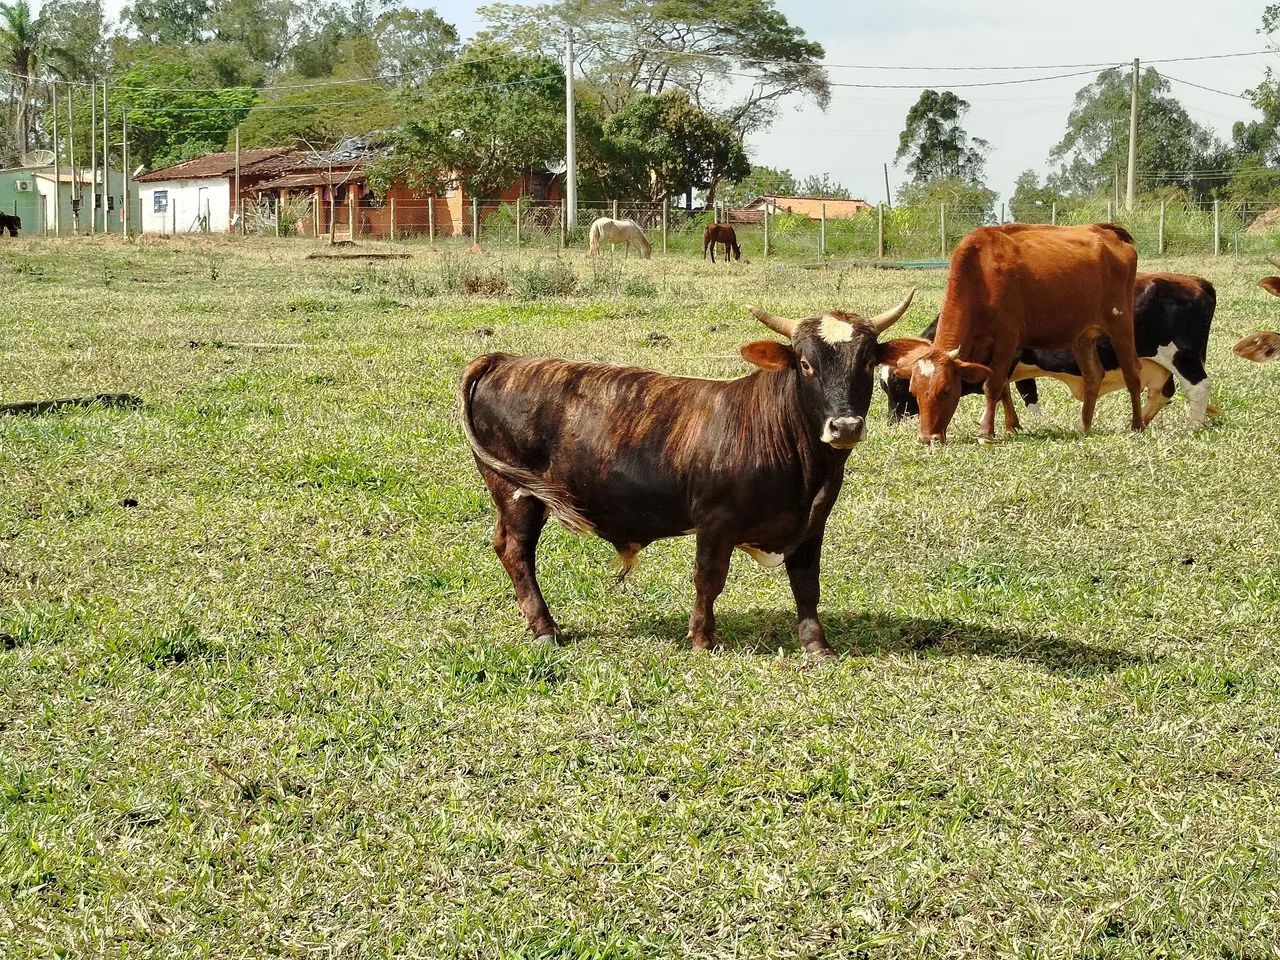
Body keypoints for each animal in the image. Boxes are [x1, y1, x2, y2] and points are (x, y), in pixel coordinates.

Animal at [459, 290, 917, 654]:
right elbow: (708, 579)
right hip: (517, 493)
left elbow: (806, 584)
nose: (845, 426)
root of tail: (503, 360)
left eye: (867, 362)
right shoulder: (714, 521)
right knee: (516, 551)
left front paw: (816, 645)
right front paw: (702, 639)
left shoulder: (812, 524)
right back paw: (545, 628)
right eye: (805, 364)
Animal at [879, 223, 1143, 444]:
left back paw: (1137, 425)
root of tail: (1106, 232)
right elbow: (1003, 387)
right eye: (913, 391)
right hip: (1083, 336)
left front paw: (986, 432)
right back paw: (1084, 426)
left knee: (1132, 373)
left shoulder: (1007, 341)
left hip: (1120, 325)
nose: (927, 438)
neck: (980, 273)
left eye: (945, 390)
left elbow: (994, 385)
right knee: (1093, 375)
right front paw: (1010, 426)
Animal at [881, 273, 1218, 426]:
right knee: (1162, 392)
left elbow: (1016, 393)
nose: (892, 422)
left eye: (899, 383)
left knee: (1198, 388)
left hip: (1183, 357)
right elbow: (1013, 393)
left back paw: (1192, 426)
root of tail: (1196, 282)